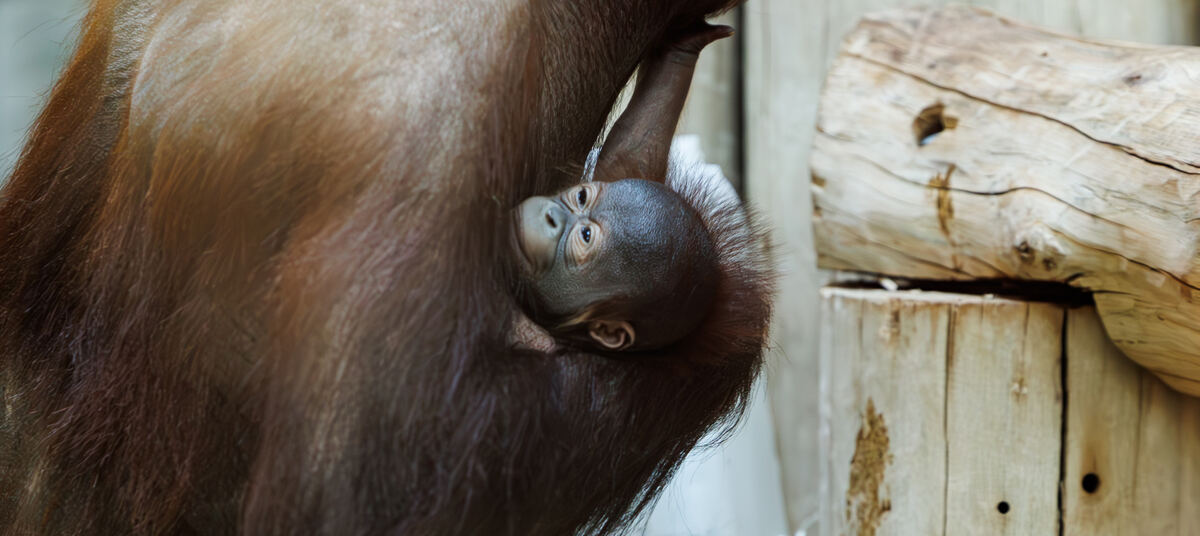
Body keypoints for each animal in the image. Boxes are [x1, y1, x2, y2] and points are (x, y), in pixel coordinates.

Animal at [511, 23, 734, 352]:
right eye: (581, 195)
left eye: (586, 236)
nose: (552, 214)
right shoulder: (621, 171)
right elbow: (632, 146)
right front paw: (687, 43)